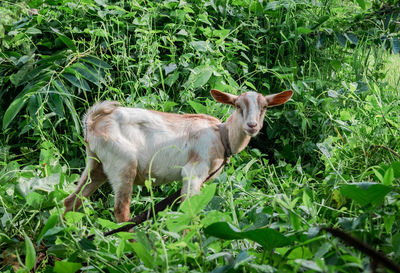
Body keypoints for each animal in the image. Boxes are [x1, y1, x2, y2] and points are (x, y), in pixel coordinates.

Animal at [63, 90, 294, 222]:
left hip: (95, 165)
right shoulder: (193, 172)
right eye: (238, 106)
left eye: (264, 107)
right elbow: (190, 211)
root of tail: (93, 123)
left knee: (71, 201)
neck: (221, 136)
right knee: (121, 211)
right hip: (123, 163)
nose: (252, 125)